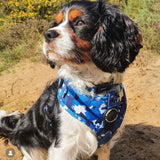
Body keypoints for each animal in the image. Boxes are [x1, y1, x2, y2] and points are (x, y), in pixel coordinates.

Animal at [0, 0, 142, 159]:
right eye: (56, 23)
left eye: (80, 22)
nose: (47, 34)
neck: (95, 89)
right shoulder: (63, 146)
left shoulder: (106, 143)